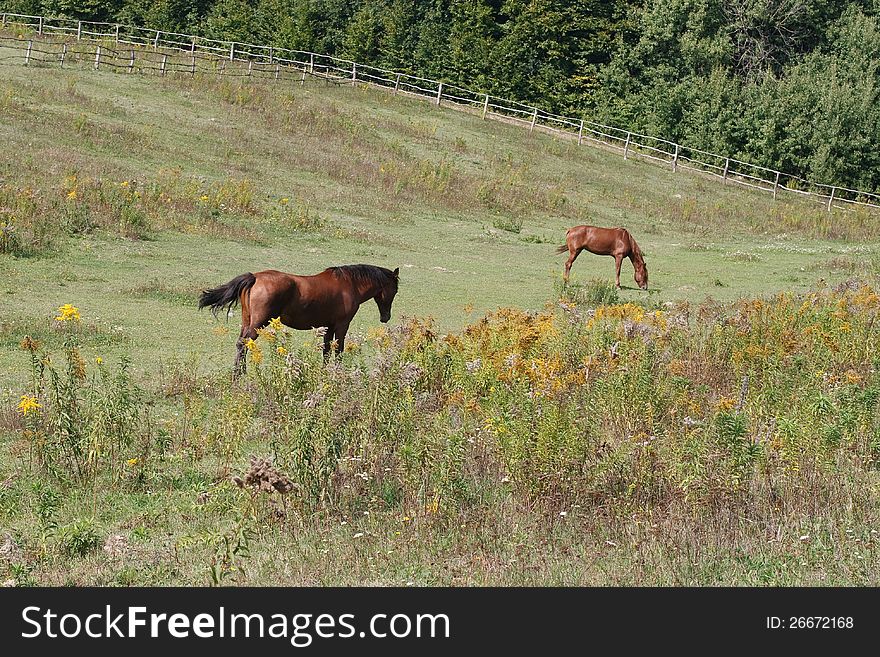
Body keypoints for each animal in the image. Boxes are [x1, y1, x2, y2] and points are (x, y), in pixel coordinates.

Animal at [199, 262, 398, 374]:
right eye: (395, 290)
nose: (386, 317)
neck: (350, 284)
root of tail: (254, 277)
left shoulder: (328, 326)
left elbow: (326, 350)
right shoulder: (342, 326)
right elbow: (338, 350)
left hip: (247, 321)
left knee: (241, 343)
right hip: (258, 323)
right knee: (244, 344)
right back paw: (239, 374)